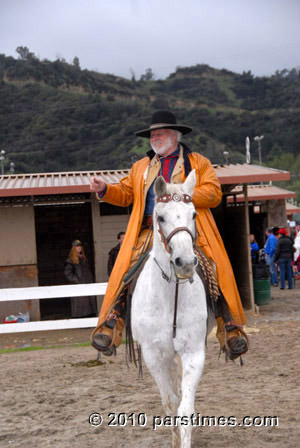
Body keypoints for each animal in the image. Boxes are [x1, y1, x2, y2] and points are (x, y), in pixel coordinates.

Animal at [132, 171, 214, 448]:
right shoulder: (154, 356)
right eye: (160, 217)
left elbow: (185, 409)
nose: (185, 262)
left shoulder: (193, 353)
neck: (170, 300)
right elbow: (170, 403)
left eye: (194, 214)